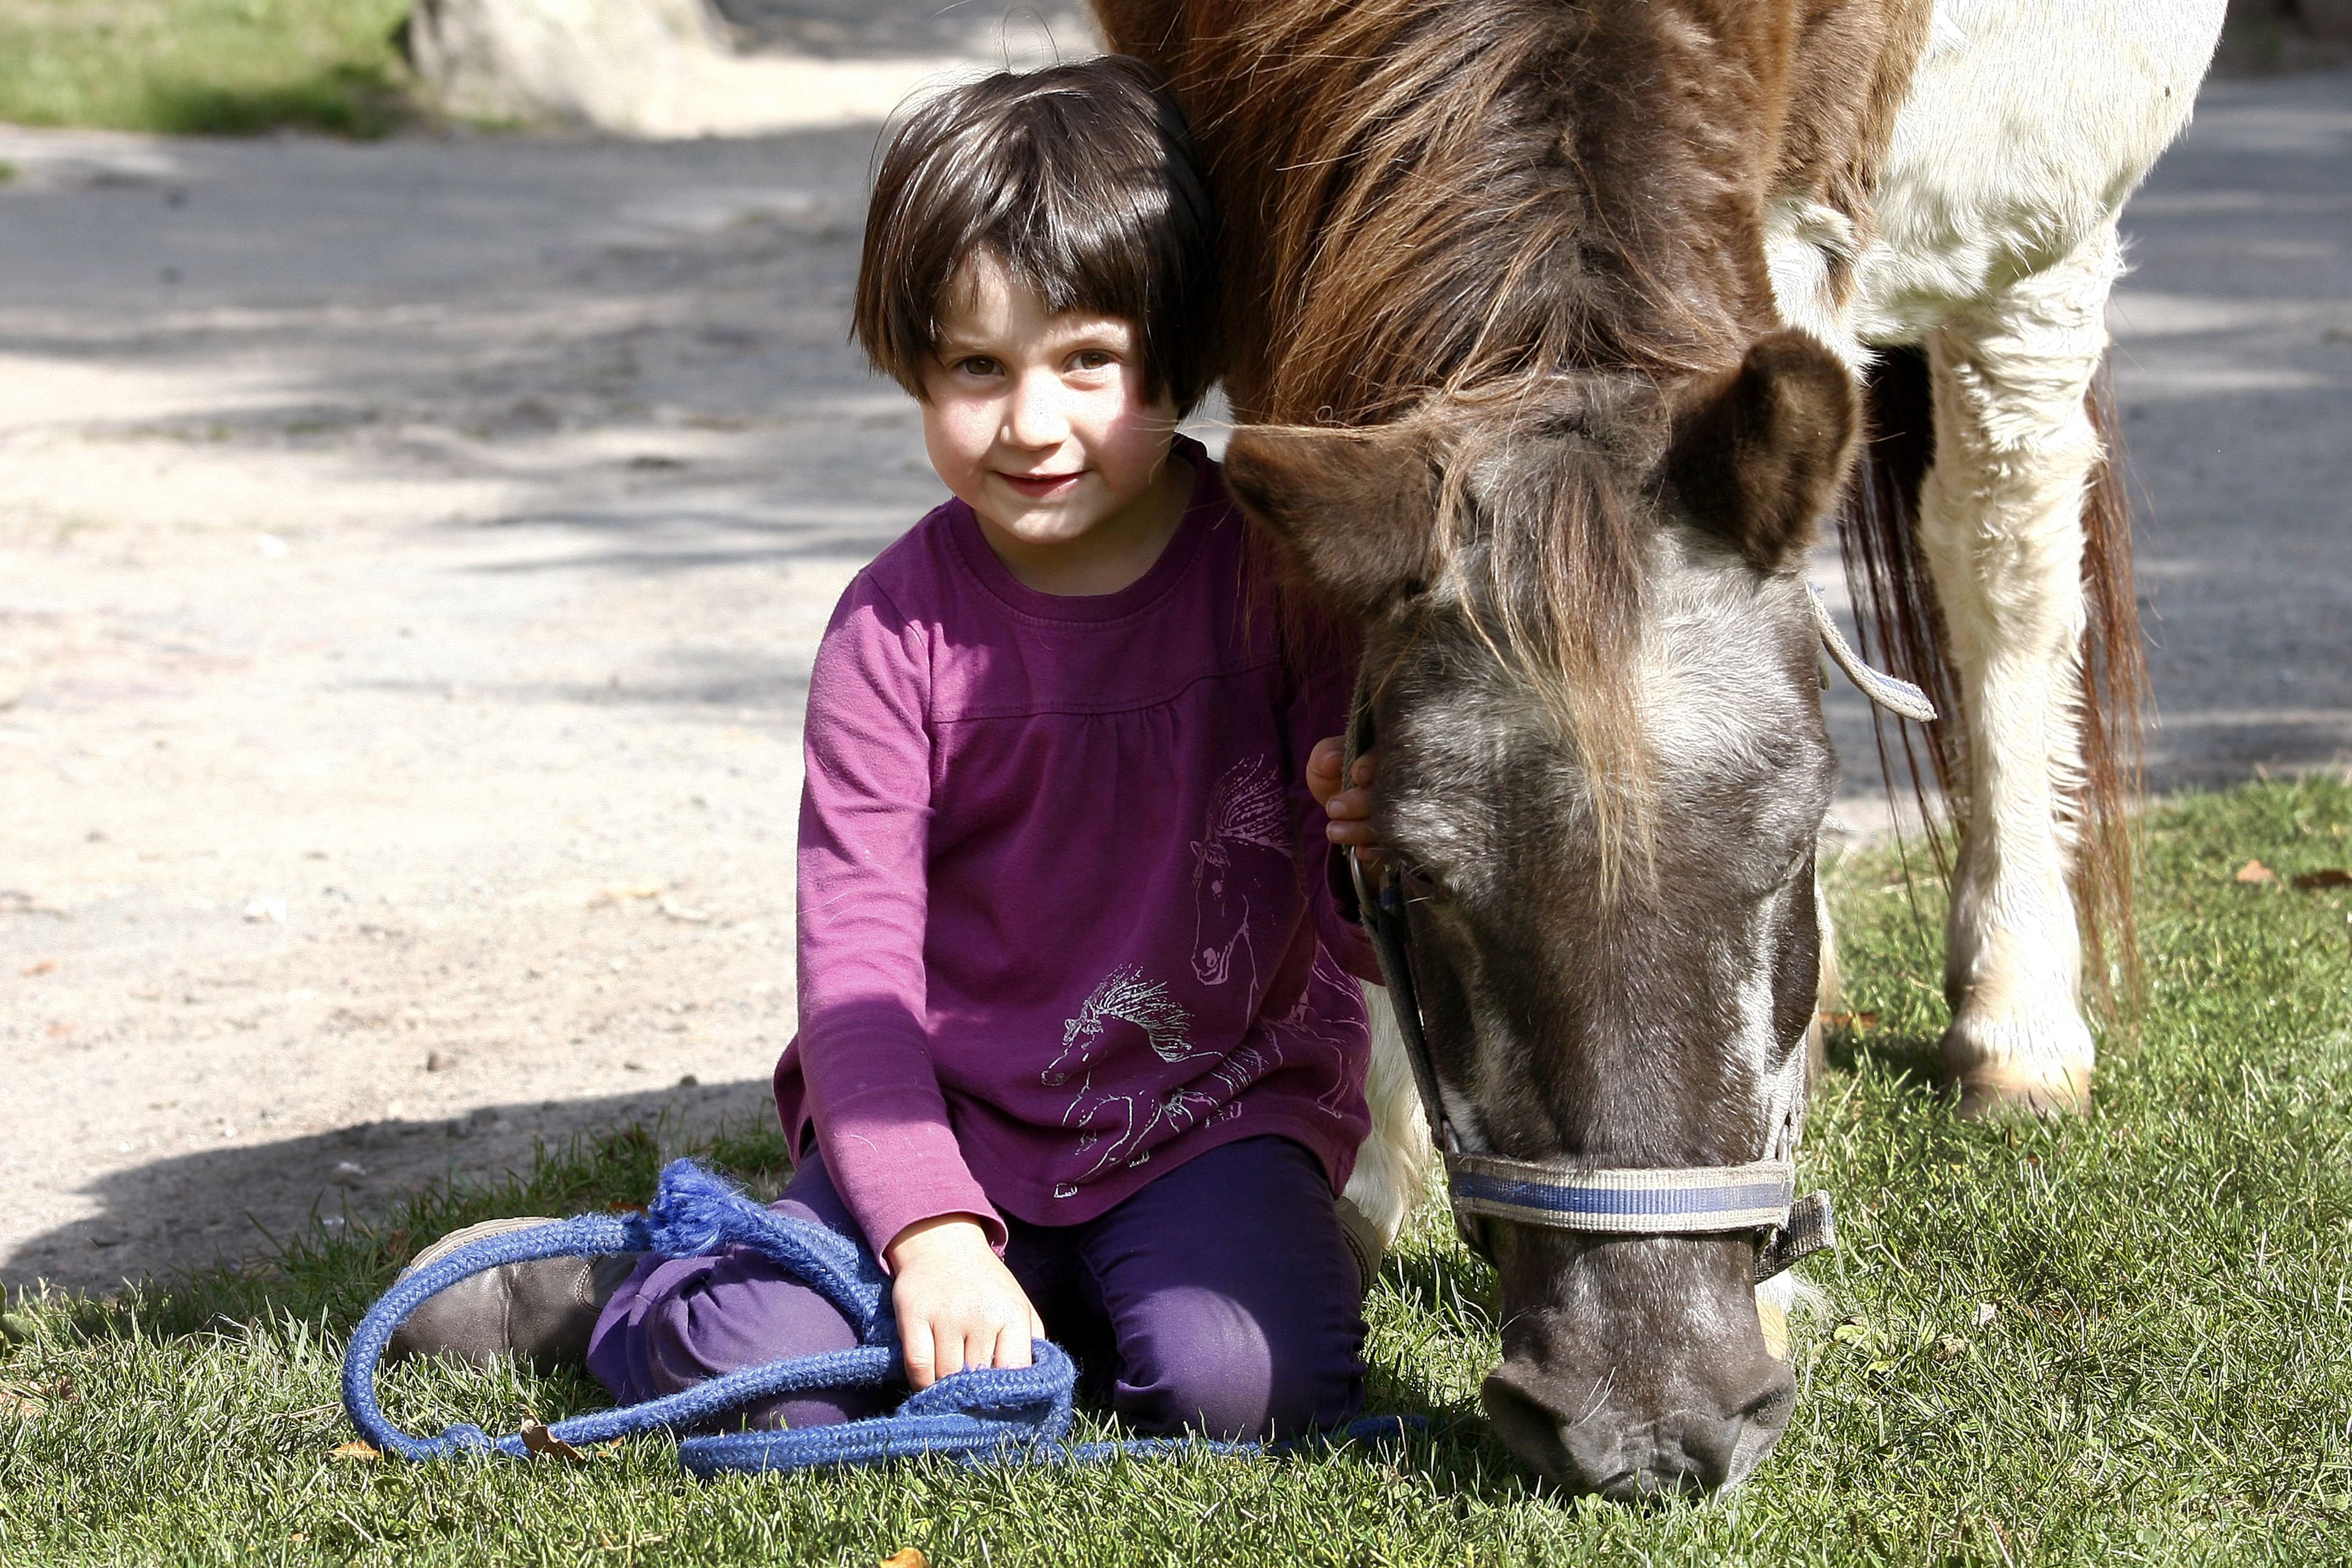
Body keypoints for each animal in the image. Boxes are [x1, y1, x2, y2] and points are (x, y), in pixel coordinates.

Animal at [1094, 0, 2225, 1497]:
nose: (1650, 1415)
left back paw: (2019, 1020)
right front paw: (1360, 1173)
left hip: (2046, 235)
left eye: (1800, 847)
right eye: (1410, 876)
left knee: (2005, 565)